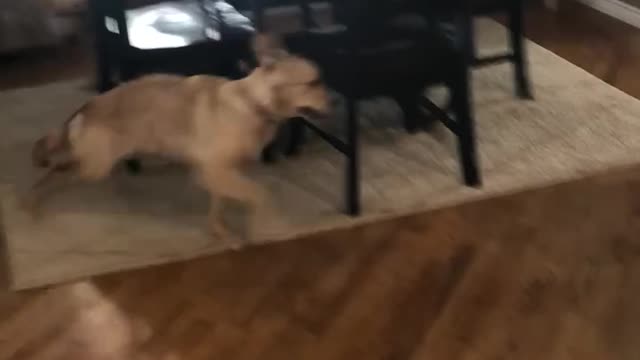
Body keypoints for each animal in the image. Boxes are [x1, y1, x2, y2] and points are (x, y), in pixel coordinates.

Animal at [23, 33, 330, 246]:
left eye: (320, 80)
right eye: (313, 83)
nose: (334, 102)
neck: (252, 103)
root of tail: (88, 107)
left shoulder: (218, 173)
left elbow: (219, 207)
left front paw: (221, 233)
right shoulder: (216, 171)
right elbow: (260, 194)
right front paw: (267, 227)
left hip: (92, 165)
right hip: (94, 167)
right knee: (54, 172)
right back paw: (35, 202)